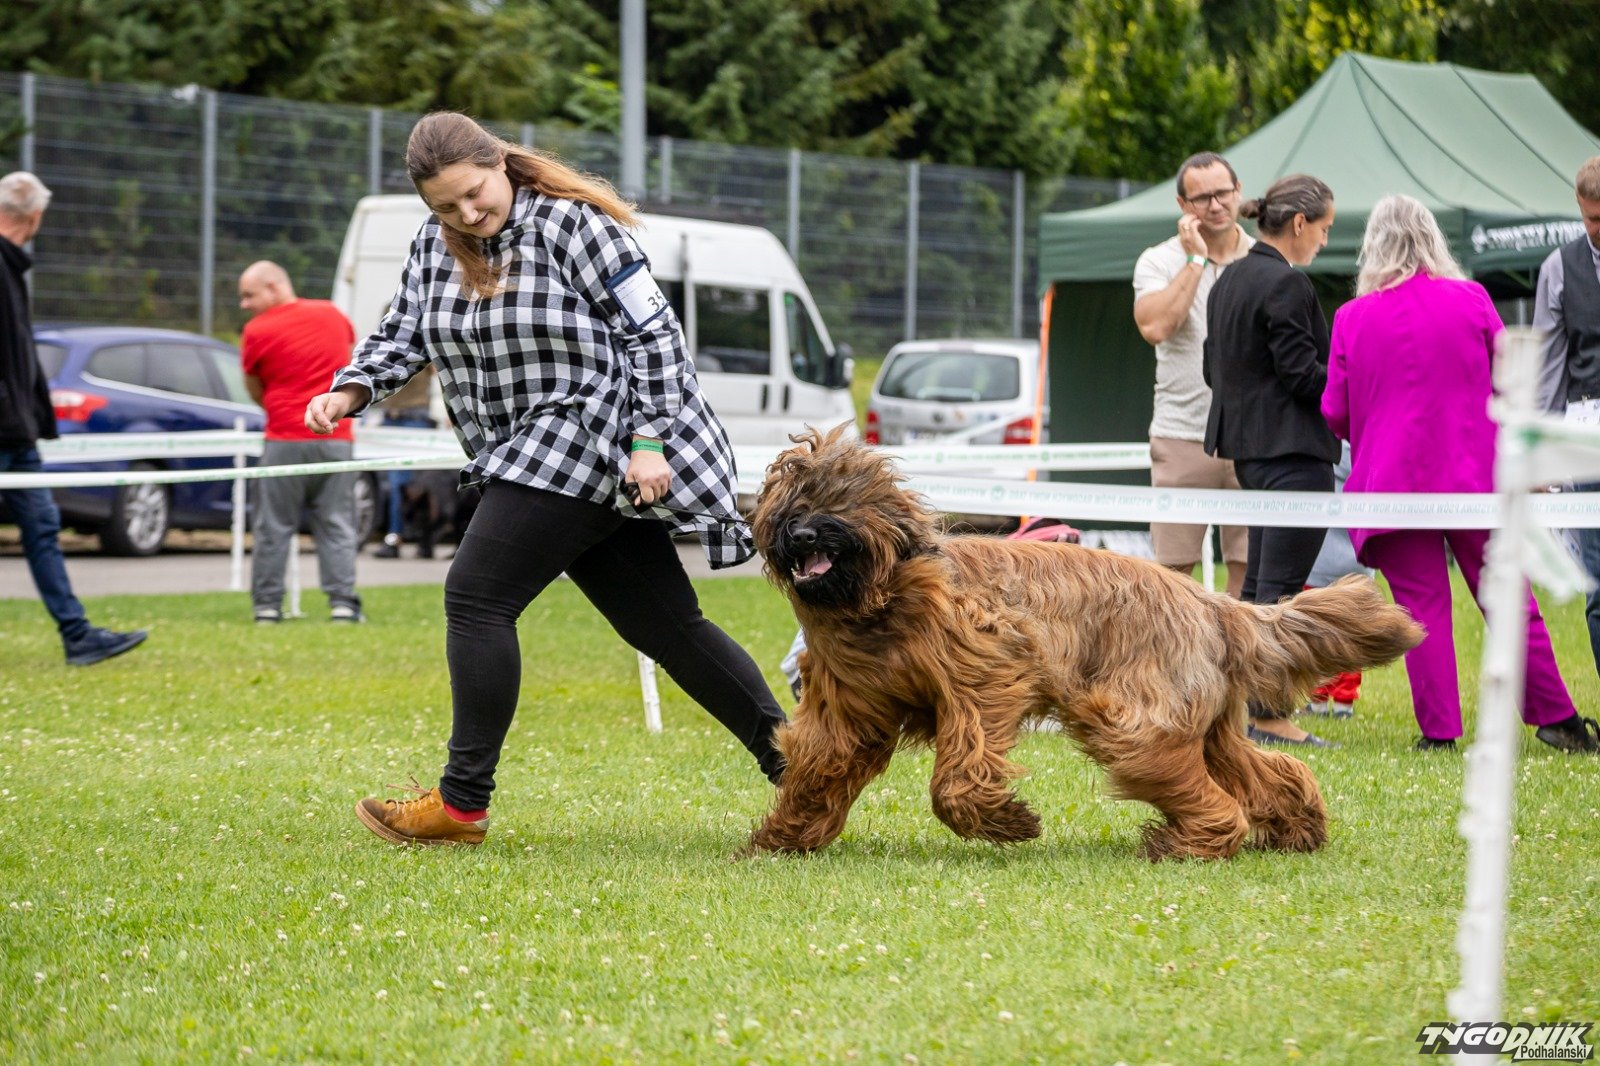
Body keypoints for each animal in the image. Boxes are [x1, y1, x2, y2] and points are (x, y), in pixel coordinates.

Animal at [747, 427, 1423, 861]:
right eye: (791, 504)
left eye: (837, 499)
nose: (802, 534)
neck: (882, 599)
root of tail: (1210, 604)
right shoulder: (850, 705)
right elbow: (824, 762)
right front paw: (782, 838)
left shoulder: (986, 674)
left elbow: (957, 777)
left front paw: (1008, 822)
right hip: (1207, 724)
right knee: (1267, 769)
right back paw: (1296, 827)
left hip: (1137, 719)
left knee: (1207, 791)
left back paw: (1189, 844)